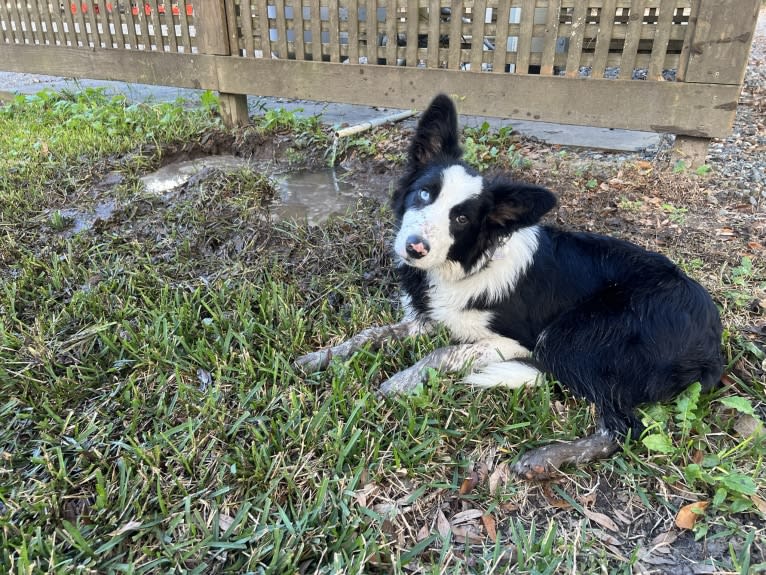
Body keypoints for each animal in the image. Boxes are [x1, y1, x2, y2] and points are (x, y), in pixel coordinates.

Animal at [296, 94, 728, 480]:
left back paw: (545, 458)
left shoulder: (516, 342)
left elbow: (442, 353)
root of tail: (712, 342)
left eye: (462, 219)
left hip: (567, 339)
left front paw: (399, 381)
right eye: (424, 193)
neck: (463, 265)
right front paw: (321, 357)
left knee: (622, 429)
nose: (414, 248)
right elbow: (371, 334)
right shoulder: (427, 319)